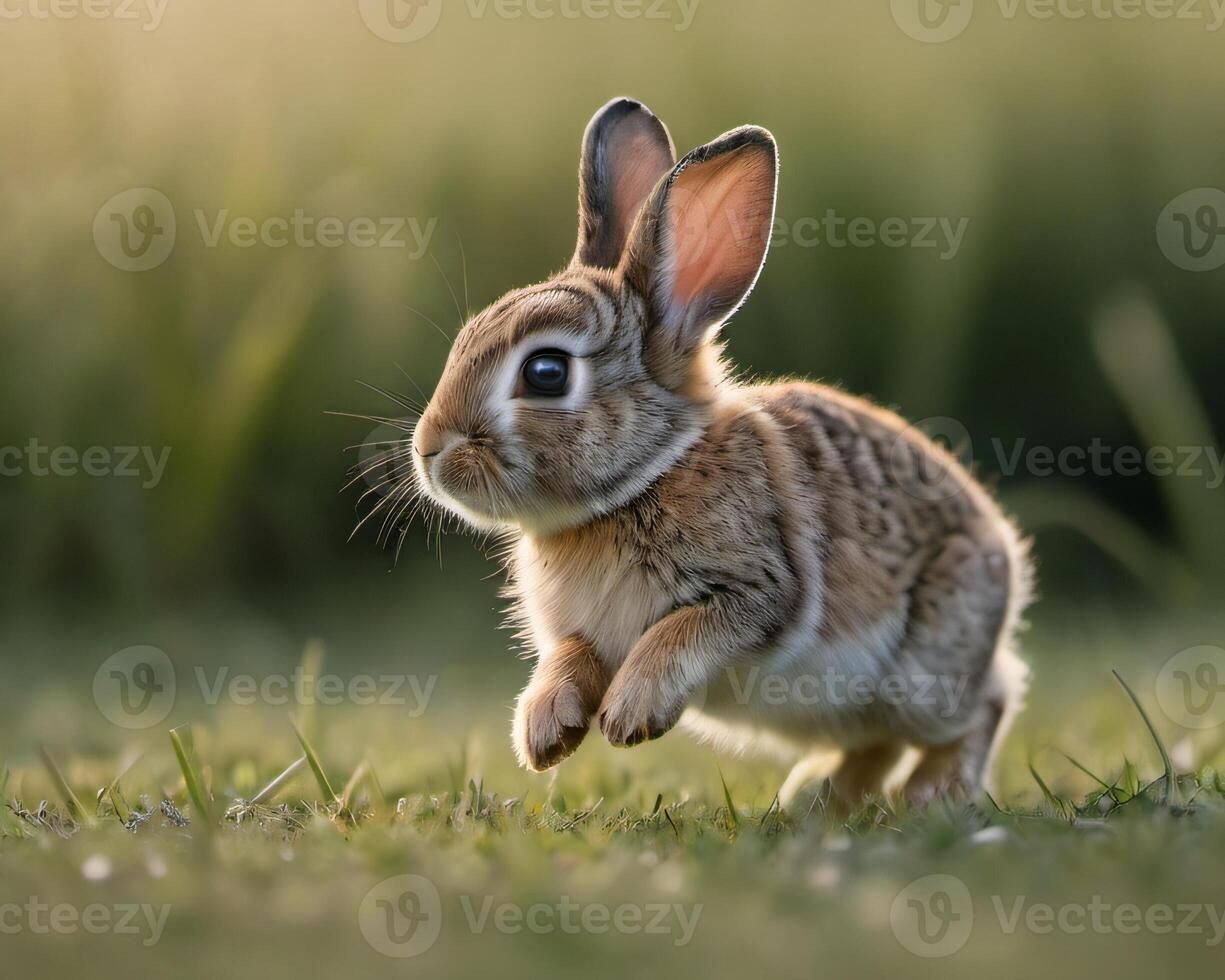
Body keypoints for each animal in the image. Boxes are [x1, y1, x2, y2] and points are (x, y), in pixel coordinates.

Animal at [406, 97, 1029, 813]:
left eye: (545, 372)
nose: (430, 451)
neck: (644, 478)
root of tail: (1003, 554)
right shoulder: (582, 632)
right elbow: (569, 658)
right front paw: (547, 733)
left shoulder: (757, 589)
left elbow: (680, 634)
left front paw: (628, 714)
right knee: (879, 741)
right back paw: (815, 798)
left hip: (924, 675)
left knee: (988, 701)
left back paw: (934, 793)